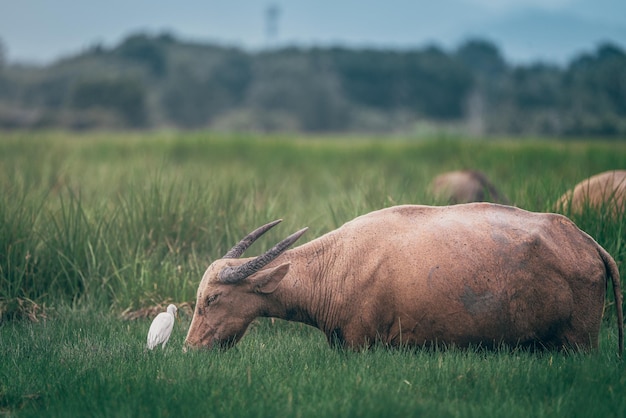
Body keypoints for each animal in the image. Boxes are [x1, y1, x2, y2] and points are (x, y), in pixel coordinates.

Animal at [183, 204, 620, 354]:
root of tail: (588, 243)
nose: (189, 348)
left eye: (212, 300)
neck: (339, 264)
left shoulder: (360, 345)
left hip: (579, 344)